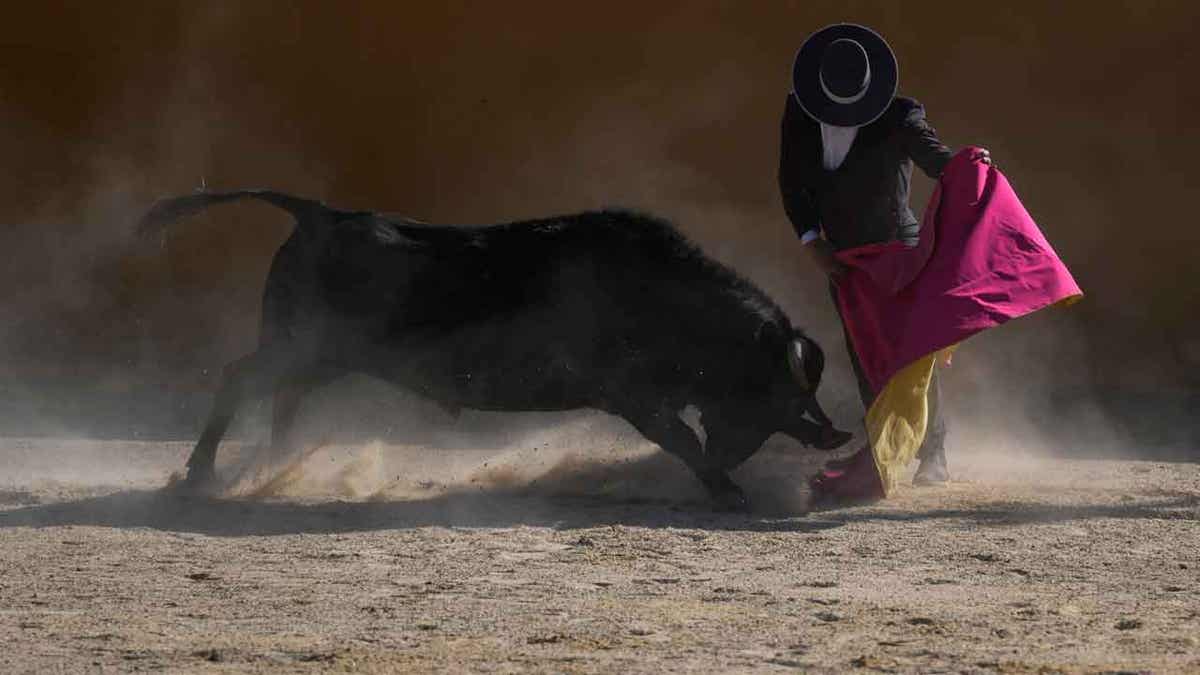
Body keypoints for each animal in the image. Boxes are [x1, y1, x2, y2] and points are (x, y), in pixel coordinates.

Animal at [138, 187, 854, 504]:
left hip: (321, 356)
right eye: (772, 387)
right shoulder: (629, 393)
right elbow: (679, 438)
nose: (830, 433)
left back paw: (271, 468)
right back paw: (201, 475)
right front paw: (726, 491)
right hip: (301, 346)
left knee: (281, 398)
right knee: (239, 376)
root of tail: (320, 214)